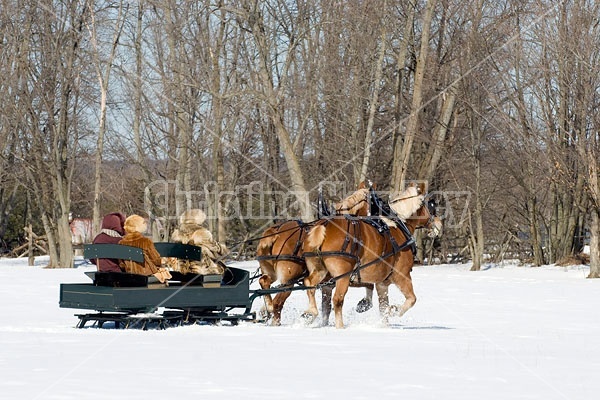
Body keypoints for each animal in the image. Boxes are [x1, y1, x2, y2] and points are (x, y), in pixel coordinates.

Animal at [255, 184, 372, 324]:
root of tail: (274, 232)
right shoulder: (347, 276)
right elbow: (370, 284)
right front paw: (365, 304)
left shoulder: (329, 284)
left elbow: (326, 307)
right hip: (288, 280)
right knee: (278, 303)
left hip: (271, 272)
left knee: (265, 283)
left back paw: (267, 309)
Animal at [302, 184, 442, 328]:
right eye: (430, 206)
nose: (439, 225)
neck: (399, 225)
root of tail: (323, 226)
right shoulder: (402, 275)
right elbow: (411, 299)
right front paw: (394, 310)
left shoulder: (382, 283)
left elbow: (383, 308)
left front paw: (384, 323)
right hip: (343, 276)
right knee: (337, 300)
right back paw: (340, 327)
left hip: (320, 270)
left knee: (310, 285)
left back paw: (311, 312)